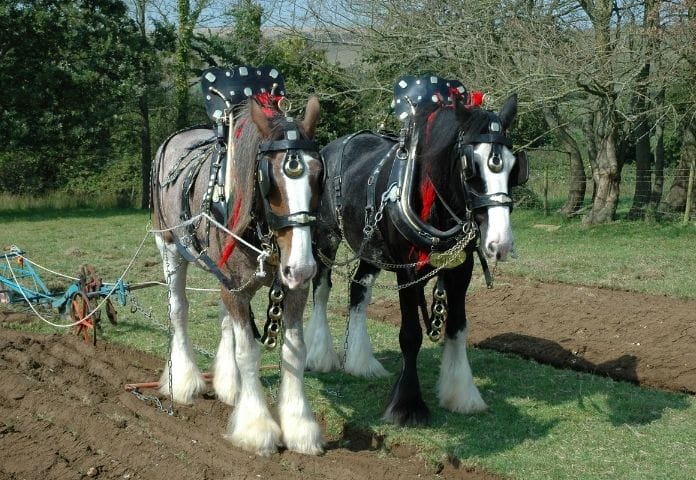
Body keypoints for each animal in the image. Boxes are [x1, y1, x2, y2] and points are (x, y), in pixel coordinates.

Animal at [151, 79, 325, 456]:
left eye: (319, 176)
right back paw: (182, 381)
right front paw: (257, 427)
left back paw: (230, 386)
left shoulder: (291, 290)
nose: (303, 267)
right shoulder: (235, 287)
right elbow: (249, 352)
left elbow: (295, 350)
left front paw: (300, 426)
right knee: (178, 309)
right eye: (270, 181)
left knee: (224, 319)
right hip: (169, 247)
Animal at [304, 79, 527, 426]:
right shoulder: (406, 270)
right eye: (471, 167)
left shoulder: (460, 269)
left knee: (359, 288)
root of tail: (330, 148)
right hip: (326, 238)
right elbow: (410, 335)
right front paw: (407, 405)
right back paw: (321, 355)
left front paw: (461, 393)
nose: (500, 244)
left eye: (514, 167)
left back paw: (360, 362)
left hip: (371, 245)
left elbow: (457, 327)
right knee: (322, 289)